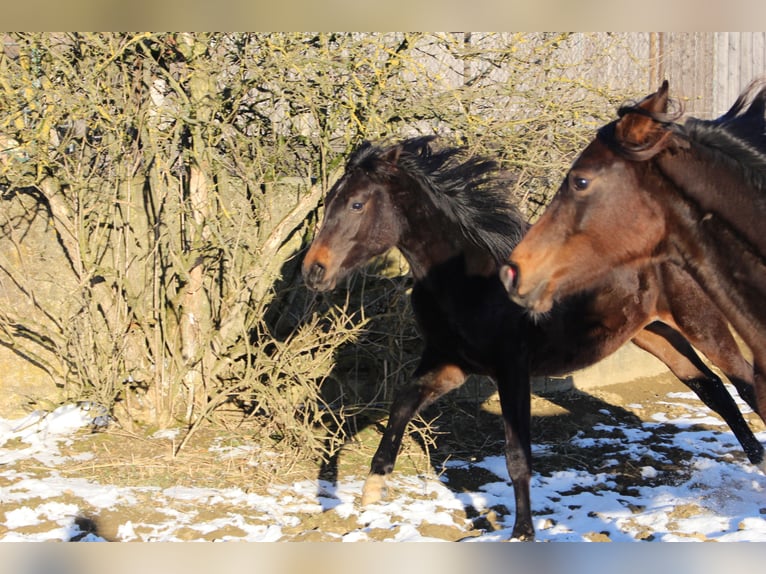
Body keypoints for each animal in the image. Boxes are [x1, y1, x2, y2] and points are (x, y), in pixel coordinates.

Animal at [302, 136, 763, 541]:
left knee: (743, 381)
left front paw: (522, 532)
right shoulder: (449, 364)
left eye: (357, 204)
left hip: (699, 320)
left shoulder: (512, 369)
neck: (469, 281)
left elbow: (517, 455)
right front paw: (370, 491)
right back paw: (755, 460)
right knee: (711, 387)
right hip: (654, 333)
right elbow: (400, 405)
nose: (313, 271)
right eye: (331, 201)